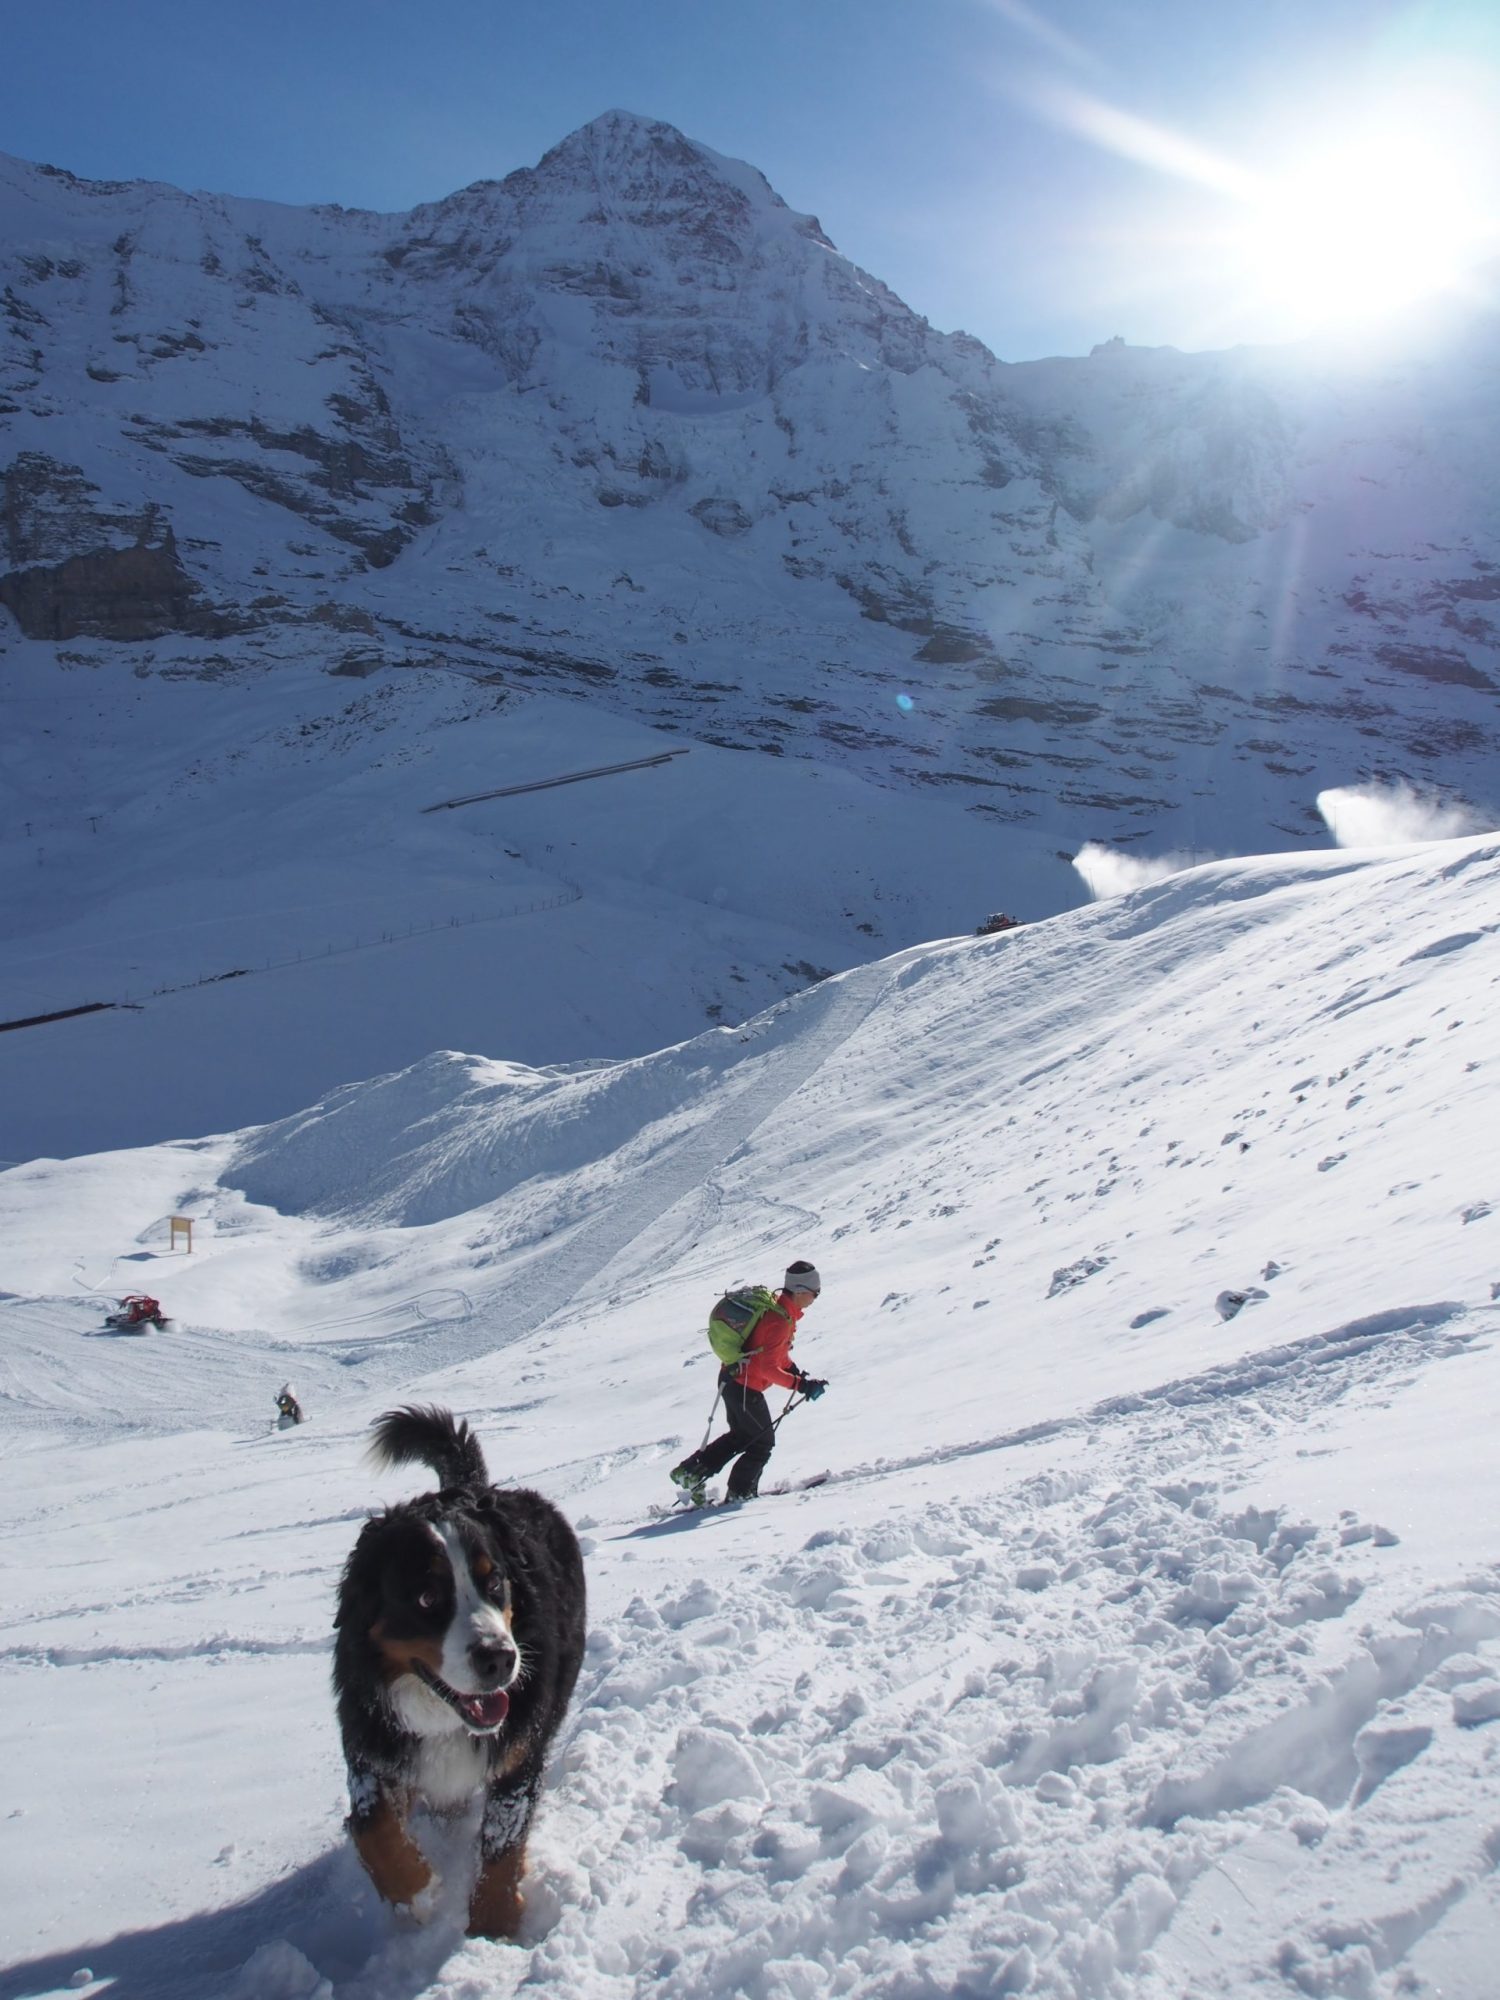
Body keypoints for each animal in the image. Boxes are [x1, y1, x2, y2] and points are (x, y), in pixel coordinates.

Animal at [334, 1408, 588, 1936]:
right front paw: (416, 1890)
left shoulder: (519, 1752)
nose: (499, 1659)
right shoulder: (374, 1741)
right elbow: (372, 1828)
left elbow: (502, 1846)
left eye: (495, 1582)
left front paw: (492, 1930)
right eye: (427, 1597)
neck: (444, 1720)